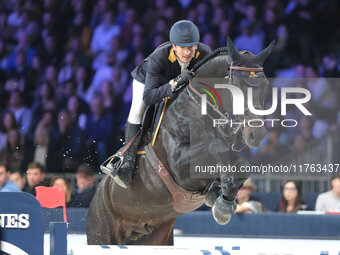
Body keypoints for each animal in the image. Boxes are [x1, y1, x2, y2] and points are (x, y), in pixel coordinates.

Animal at [86, 37, 274, 245]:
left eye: (265, 85)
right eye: (237, 87)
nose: (257, 134)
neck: (198, 107)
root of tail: (96, 196)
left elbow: (242, 166)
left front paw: (223, 200)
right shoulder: (179, 166)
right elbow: (215, 147)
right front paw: (222, 205)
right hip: (101, 232)